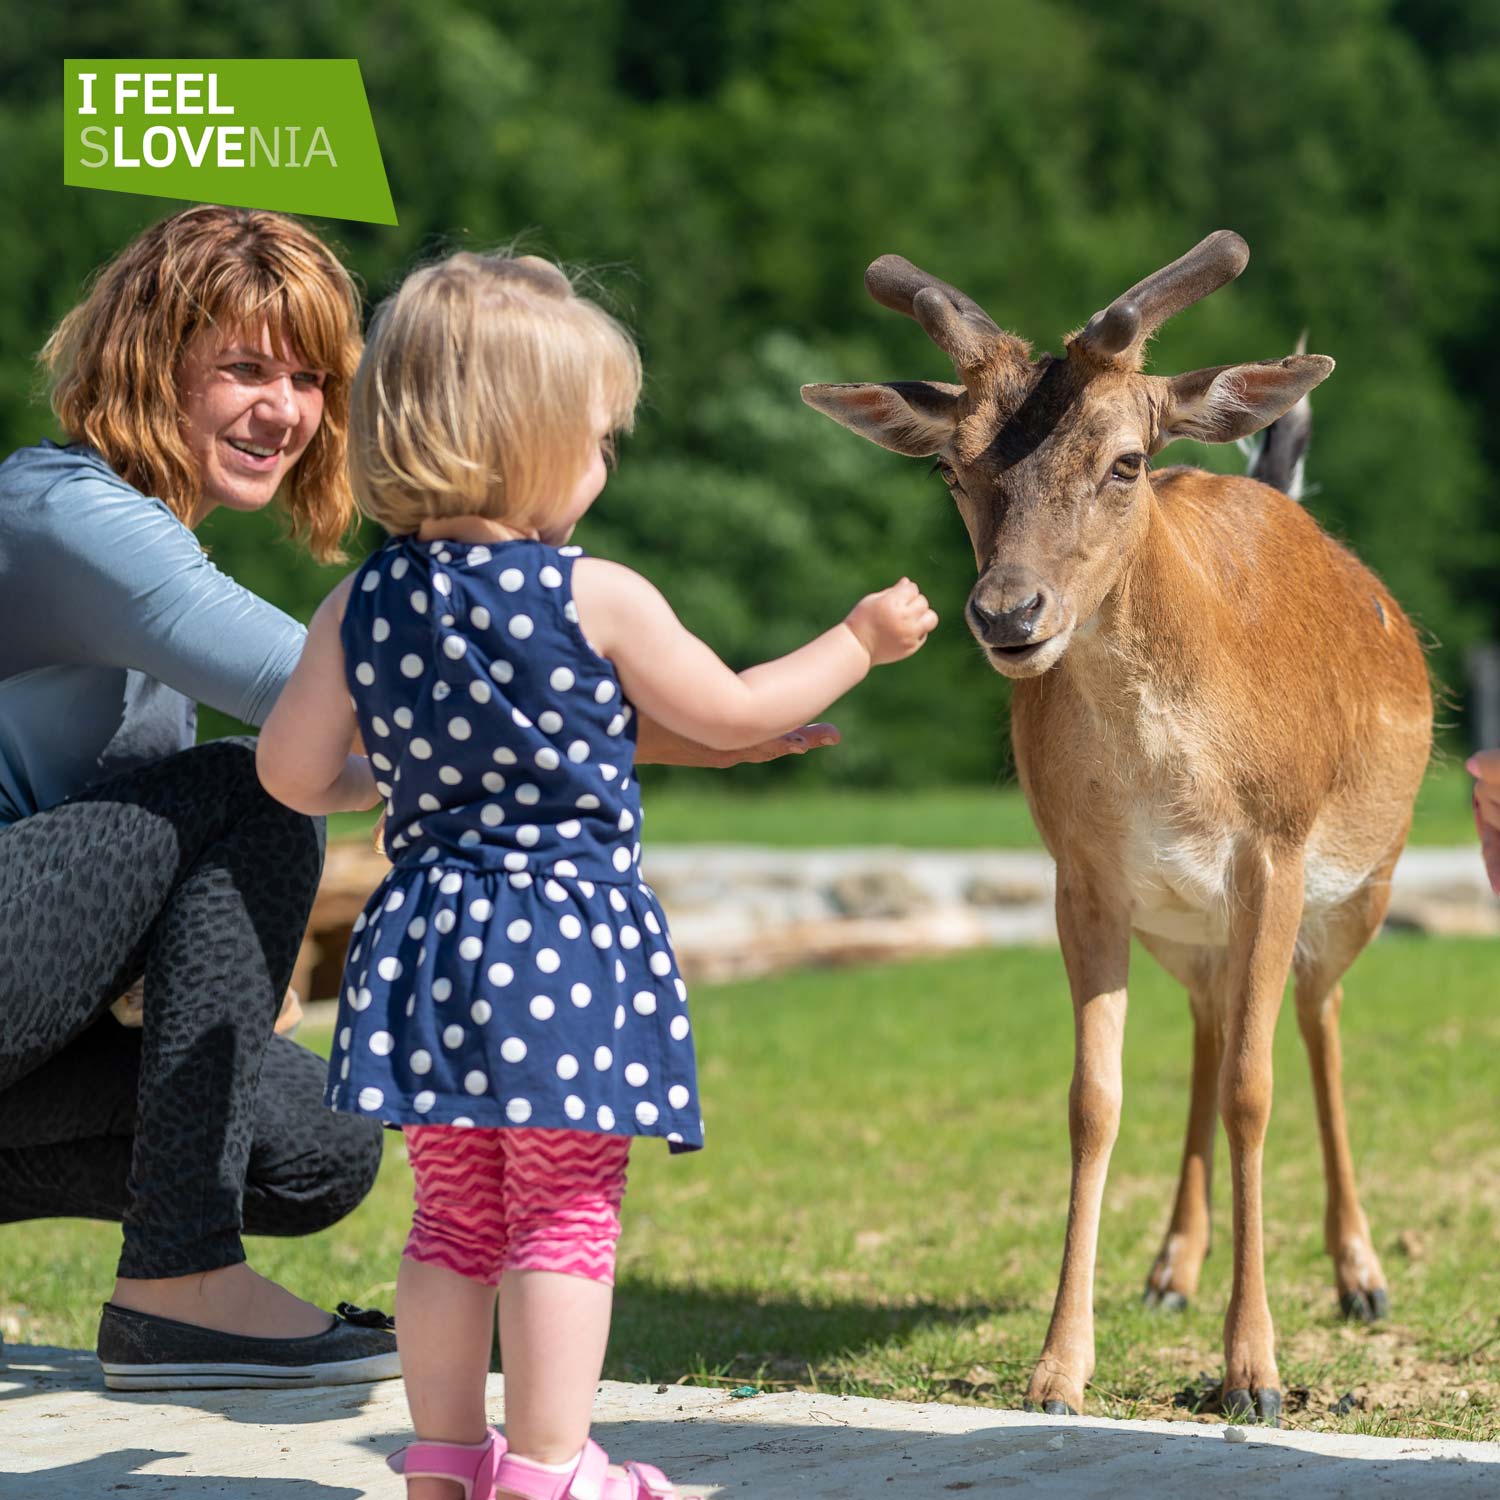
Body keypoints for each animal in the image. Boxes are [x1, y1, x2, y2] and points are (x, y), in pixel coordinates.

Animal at [804, 228, 1434, 1422]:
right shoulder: (1084, 875)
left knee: (1318, 1024)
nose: (1008, 614)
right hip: (1185, 927)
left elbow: (1255, 1090)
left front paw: (1255, 1374)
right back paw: (1170, 1269)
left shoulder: (1276, 854)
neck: (1173, 777)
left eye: (1126, 462)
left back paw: (1362, 1277)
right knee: (1210, 1022)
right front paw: (1058, 1370)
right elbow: (1093, 1100)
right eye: (952, 467)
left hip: (1361, 887)